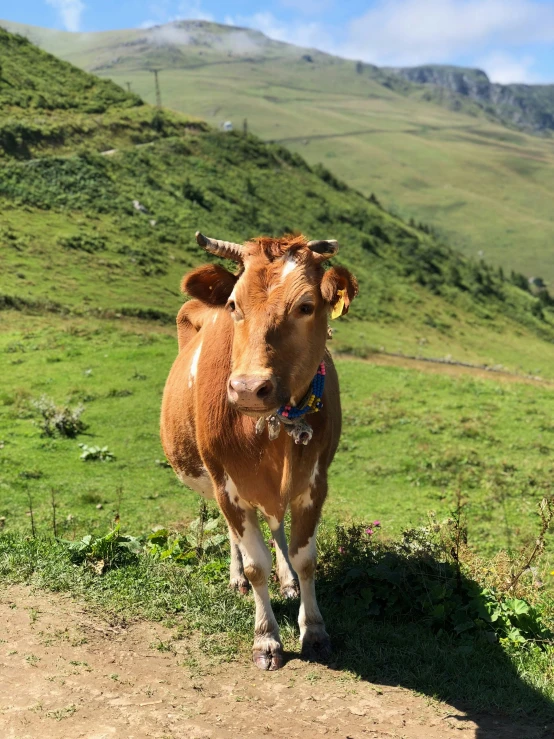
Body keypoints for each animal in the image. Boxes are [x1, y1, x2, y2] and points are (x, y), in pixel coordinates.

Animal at [160, 231, 358, 672]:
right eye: (235, 305)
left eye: (306, 306)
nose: (249, 388)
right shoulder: (227, 483)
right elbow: (255, 566)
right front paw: (266, 637)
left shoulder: (314, 481)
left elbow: (305, 558)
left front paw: (313, 629)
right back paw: (236, 578)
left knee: (275, 523)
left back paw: (287, 580)